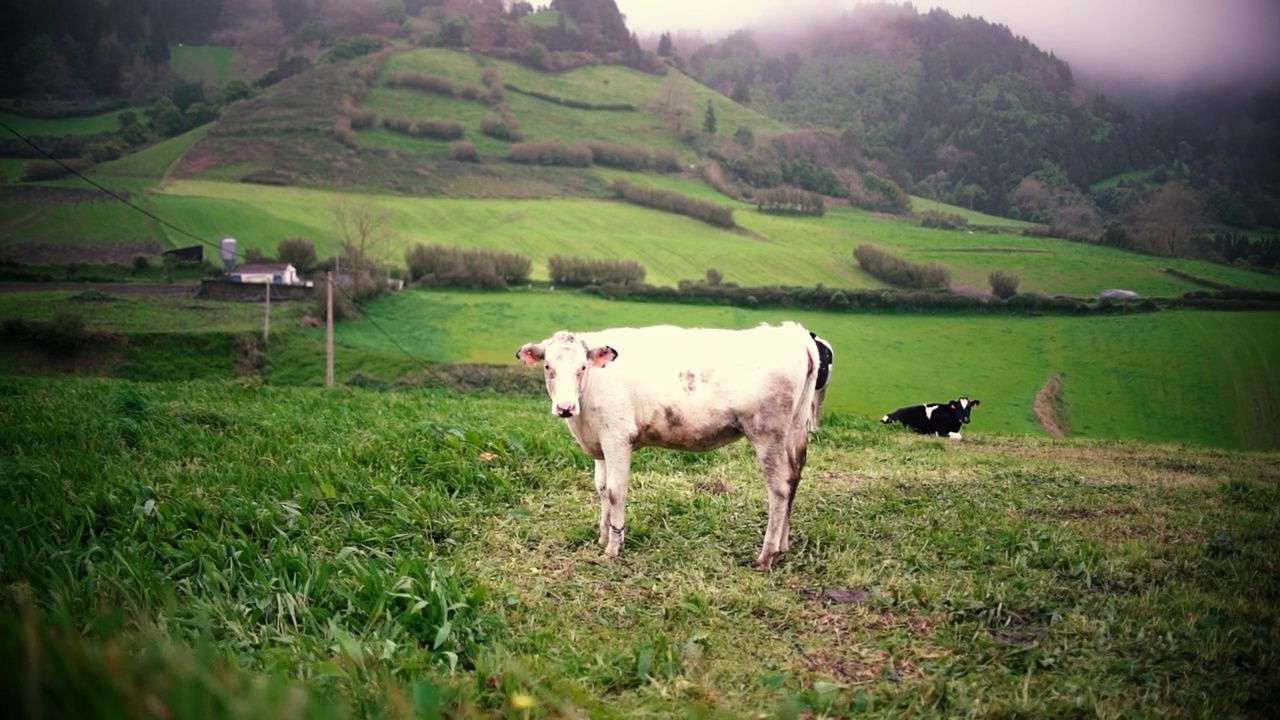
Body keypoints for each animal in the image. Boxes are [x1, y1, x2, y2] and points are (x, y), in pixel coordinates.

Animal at [514, 320, 834, 566]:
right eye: (548, 366)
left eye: (582, 367)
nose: (565, 407)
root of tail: (793, 332)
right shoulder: (599, 442)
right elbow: (602, 489)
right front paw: (603, 536)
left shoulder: (617, 437)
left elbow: (616, 492)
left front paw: (613, 548)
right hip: (793, 432)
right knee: (793, 479)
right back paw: (782, 547)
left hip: (768, 433)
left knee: (778, 489)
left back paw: (765, 556)